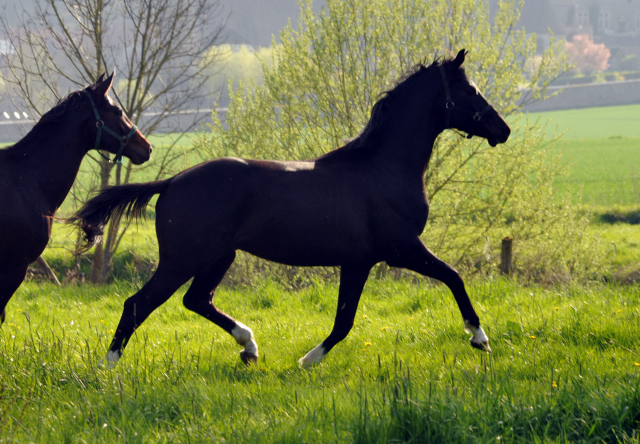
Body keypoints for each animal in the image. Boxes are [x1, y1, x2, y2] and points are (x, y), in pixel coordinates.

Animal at [71, 49, 510, 368]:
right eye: (470, 90)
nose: (503, 130)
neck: (382, 167)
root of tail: (172, 181)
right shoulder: (402, 249)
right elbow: (453, 277)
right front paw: (480, 339)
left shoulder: (359, 261)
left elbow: (345, 320)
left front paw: (307, 360)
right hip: (182, 259)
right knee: (138, 304)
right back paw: (108, 368)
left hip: (219, 256)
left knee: (196, 300)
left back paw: (249, 346)